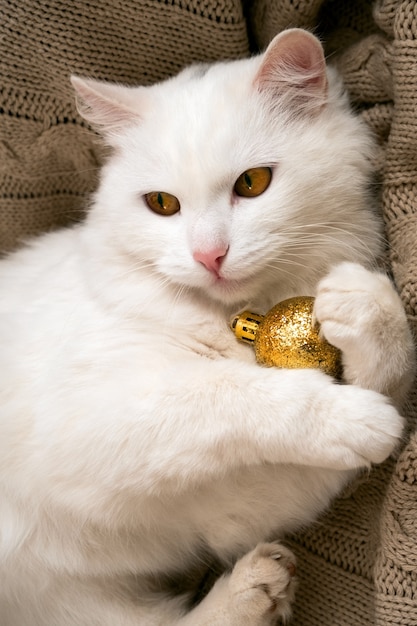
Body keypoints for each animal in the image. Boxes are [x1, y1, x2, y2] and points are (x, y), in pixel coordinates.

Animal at [0, 29, 412, 624]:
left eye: (254, 183)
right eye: (161, 204)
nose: (208, 256)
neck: (239, 320)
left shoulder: (246, 504)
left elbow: (392, 372)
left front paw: (363, 304)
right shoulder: (91, 425)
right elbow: (224, 395)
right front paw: (348, 417)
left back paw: (258, 590)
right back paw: (252, 590)